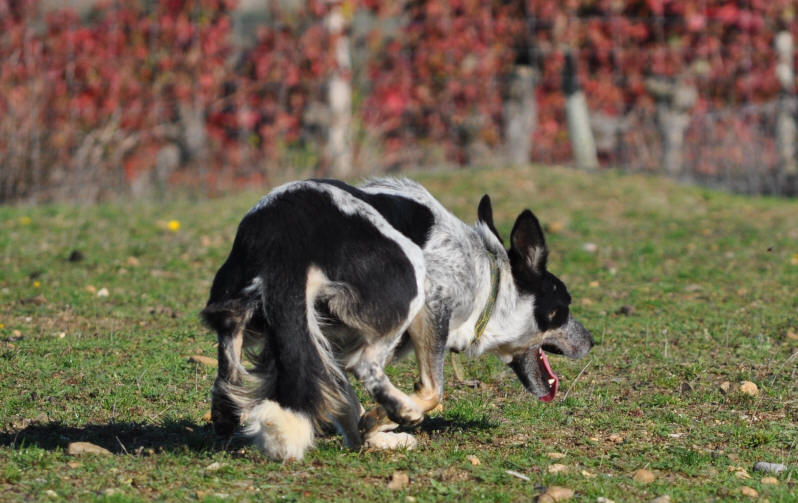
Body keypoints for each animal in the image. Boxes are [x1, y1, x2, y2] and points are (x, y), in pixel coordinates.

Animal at [203, 178, 596, 460]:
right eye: (563, 308)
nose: (592, 341)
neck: (490, 276)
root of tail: (287, 238)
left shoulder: (328, 347)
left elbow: (345, 403)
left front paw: (373, 435)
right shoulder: (435, 306)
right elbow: (431, 391)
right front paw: (388, 418)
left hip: (238, 303)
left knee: (229, 358)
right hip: (409, 277)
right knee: (368, 366)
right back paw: (401, 409)